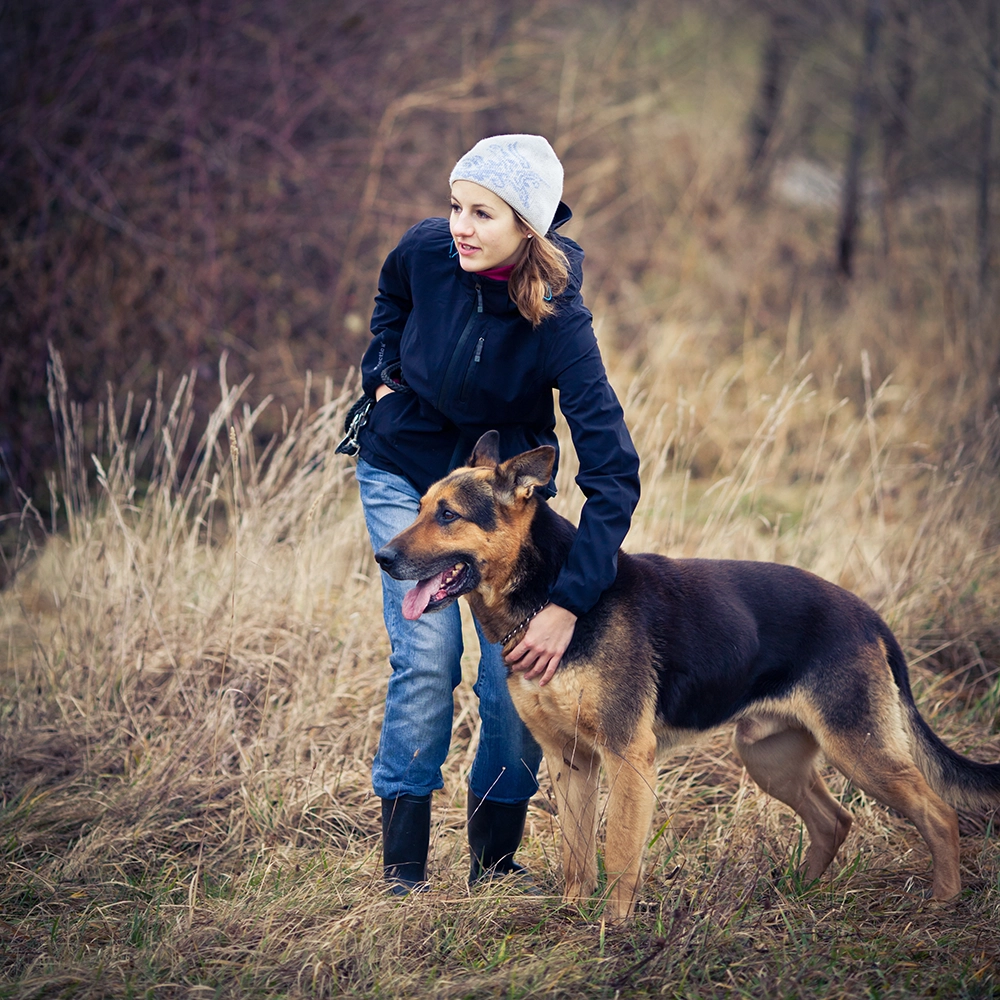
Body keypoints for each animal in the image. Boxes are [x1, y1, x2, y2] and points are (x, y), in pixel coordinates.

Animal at [376, 430, 1000, 920]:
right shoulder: (570, 761)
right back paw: (796, 893)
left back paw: (943, 901)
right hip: (770, 758)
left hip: (859, 750)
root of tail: (870, 616)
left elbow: (619, 853)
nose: (382, 557)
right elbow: (577, 857)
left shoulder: (629, 756)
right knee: (834, 820)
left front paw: (613, 930)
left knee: (938, 814)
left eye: (448, 514)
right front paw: (572, 918)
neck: (552, 593)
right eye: (419, 507)